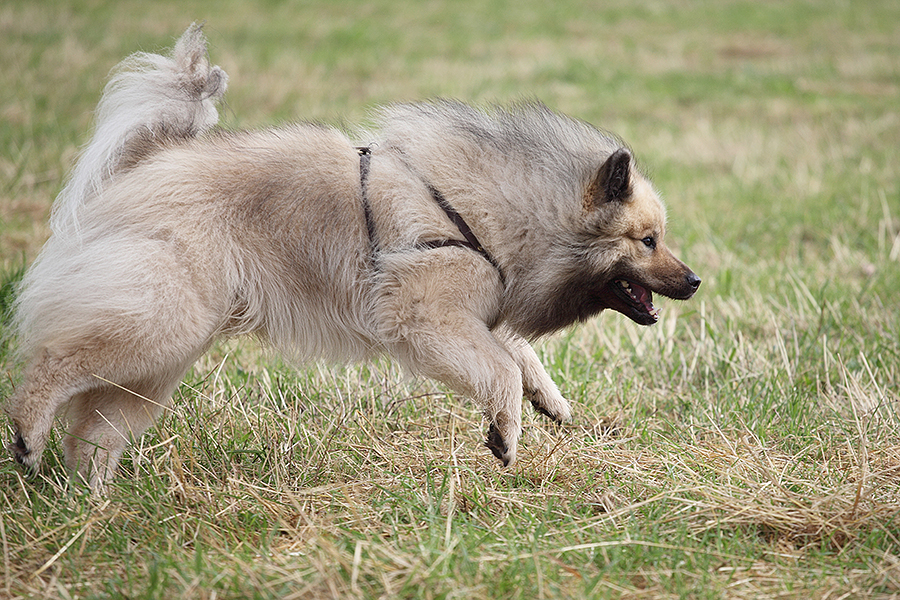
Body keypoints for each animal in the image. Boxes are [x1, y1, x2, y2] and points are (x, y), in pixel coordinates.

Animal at [3, 25, 700, 490]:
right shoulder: (426, 319)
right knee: (53, 364)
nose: (694, 281)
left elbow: (515, 352)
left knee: (95, 432)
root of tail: (148, 159)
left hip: (163, 354)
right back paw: (30, 442)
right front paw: (505, 434)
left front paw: (548, 401)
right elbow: (499, 368)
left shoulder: (473, 313)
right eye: (649, 241)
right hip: (160, 322)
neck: (506, 212)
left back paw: (92, 505)